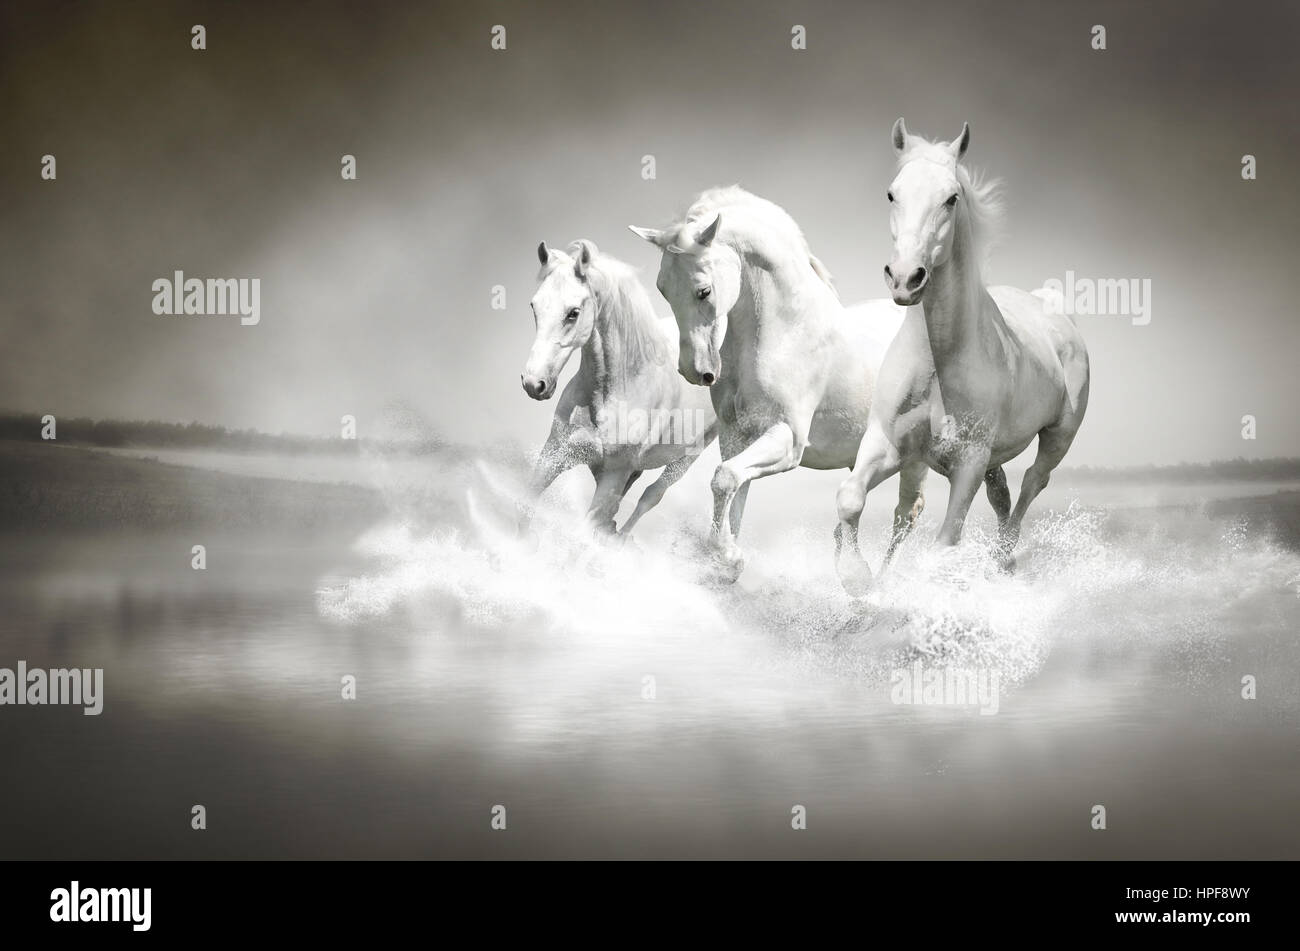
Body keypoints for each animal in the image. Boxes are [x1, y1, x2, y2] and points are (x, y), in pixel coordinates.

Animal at [518, 239, 718, 539]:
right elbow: (525, 510)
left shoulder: (614, 474)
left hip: (689, 455)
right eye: (534, 306)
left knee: (651, 496)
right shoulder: (555, 454)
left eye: (573, 313)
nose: (534, 383)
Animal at [629, 187, 924, 582]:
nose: (695, 371)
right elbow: (734, 491)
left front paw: (729, 556)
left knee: (907, 514)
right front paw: (726, 560)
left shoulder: (788, 439)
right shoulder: (737, 437)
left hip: (913, 457)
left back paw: (874, 584)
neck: (786, 331)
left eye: (704, 291)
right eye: (662, 289)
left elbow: (724, 479)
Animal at [834, 119, 1090, 595]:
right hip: (994, 458)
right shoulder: (888, 444)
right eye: (892, 193)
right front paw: (857, 579)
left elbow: (945, 542)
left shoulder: (968, 462)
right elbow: (850, 498)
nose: (905, 278)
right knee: (1001, 494)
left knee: (1033, 483)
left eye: (951, 198)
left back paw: (1004, 559)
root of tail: (1056, 312)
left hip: (1058, 436)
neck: (939, 361)